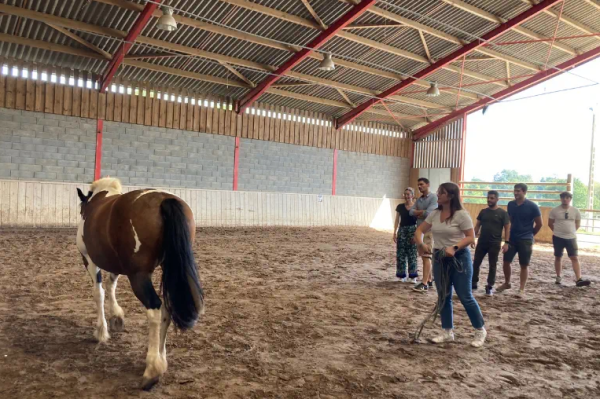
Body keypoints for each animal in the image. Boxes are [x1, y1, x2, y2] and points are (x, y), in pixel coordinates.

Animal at [75, 178, 205, 390]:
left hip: (139, 276)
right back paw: (161, 359)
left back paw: (152, 369)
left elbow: (99, 293)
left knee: (154, 309)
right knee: (166, 310)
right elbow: (111, 286)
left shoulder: (89, 260)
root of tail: (165, 201)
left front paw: (101, 331)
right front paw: (117, 317)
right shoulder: (117, 265)